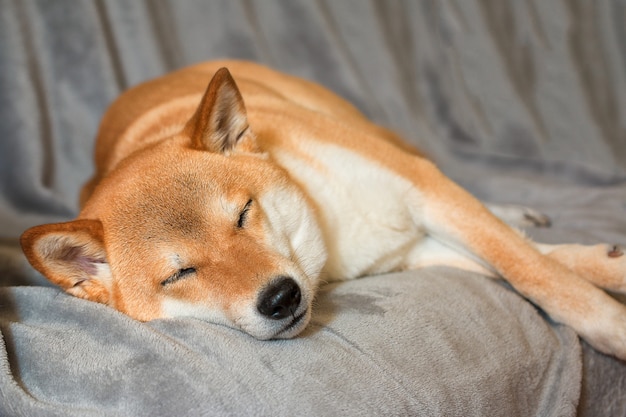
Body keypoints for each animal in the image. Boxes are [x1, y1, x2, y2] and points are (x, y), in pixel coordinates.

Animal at [20, 60, 624, 360]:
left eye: (243, 214)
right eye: (180, 274)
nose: (280, 298)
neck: (328, 232)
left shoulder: (422, 188)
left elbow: (536, 272)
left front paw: (609, 320)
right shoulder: (416, 250)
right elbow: (526, 267)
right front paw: (604, 269)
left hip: (387, 139)